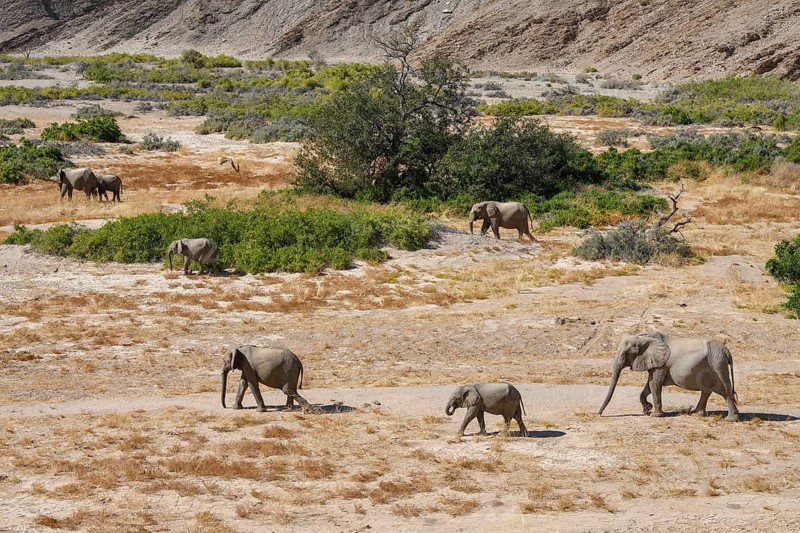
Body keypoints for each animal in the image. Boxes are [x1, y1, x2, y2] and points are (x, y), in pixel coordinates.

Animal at [598, 332, 739, 421]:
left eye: (627, 353)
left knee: (724, 391)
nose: (599, 414)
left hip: (718, 364)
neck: (644, 337)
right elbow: (649, 384)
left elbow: (654, 384)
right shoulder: (656, 363)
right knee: (707, 390)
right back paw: (696, 415)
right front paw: (647, 409)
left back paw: (730, 419)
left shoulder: (662, 364)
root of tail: (727, 351)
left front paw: (654, 415)